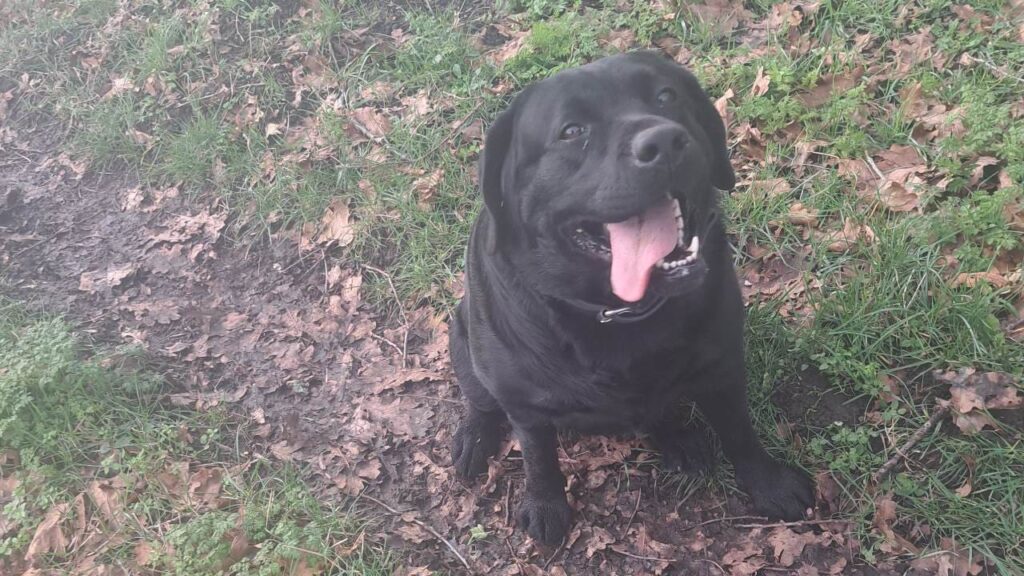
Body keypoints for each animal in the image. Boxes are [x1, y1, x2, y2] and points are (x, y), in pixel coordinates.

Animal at [452, 50, 811, 541]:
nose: (664, 141)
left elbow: (740, 430)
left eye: (665, 96)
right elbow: (538, 458)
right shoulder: (526, 406)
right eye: (572, 131)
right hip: (463, 340)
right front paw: (545, 505)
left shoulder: (722, 365)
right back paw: (474, 436)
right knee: (479, 399)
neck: (619, 311)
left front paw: (768, 483)